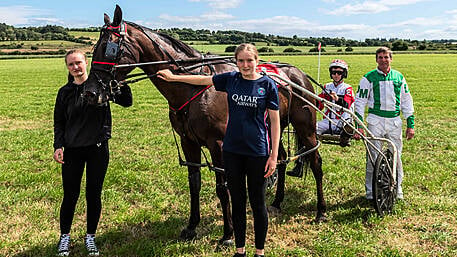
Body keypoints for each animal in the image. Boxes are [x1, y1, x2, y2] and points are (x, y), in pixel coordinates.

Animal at [83, 4, 326, 244]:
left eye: (109, 47)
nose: (90, 92)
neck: (193, 87)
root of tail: (298, 73)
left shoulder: (218, 144)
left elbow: (222, 187)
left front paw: (228, 234)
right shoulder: (188, 142)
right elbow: (194, 183)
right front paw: (192, 226)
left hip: (305, 127)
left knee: (316, 162)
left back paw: (321, 211)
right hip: (274, 127)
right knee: (281, 158)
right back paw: (276, 202)